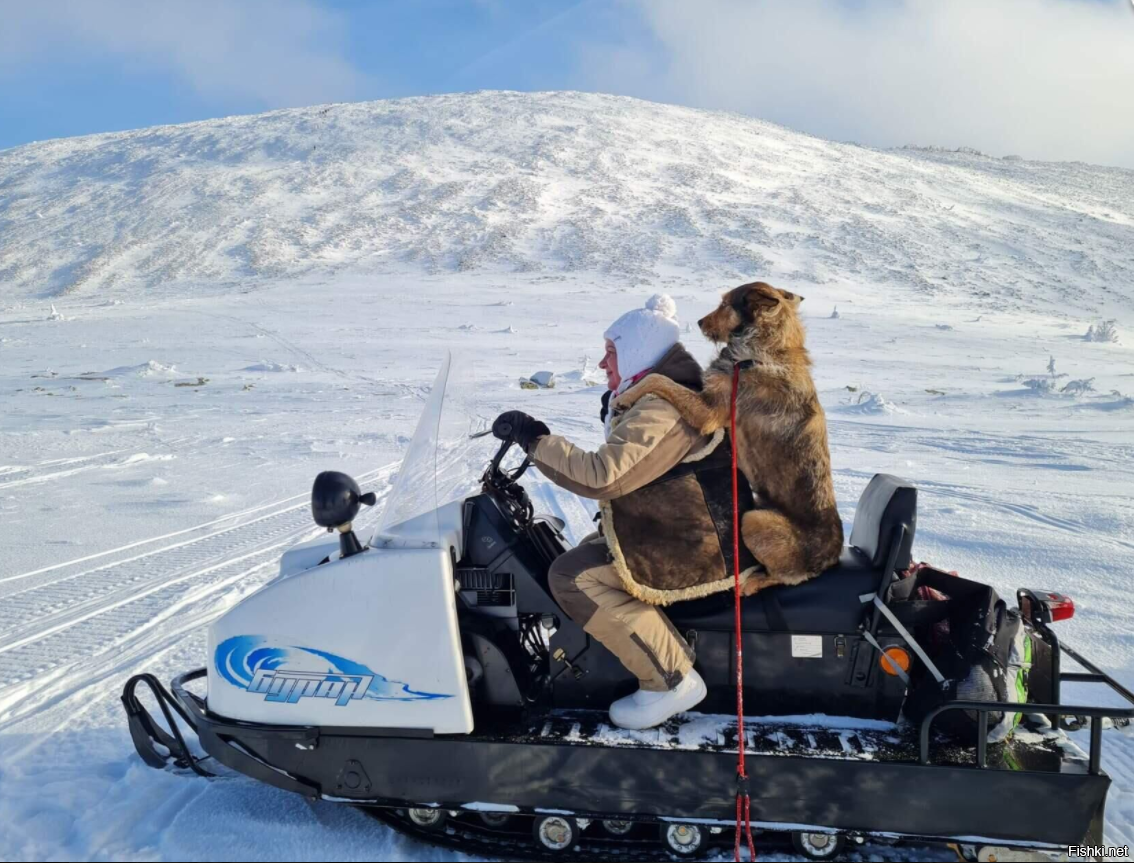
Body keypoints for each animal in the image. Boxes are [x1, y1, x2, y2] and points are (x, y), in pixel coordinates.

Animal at [612, 282, 843, 594]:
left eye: (724, 305)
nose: (699, 322)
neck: (760, 351)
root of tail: (833, 558)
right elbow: (664, 381)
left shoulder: (709, 410)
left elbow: (658, 380)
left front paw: (624, 398)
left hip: (753, 519)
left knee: (780, 576)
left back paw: (749, 584)